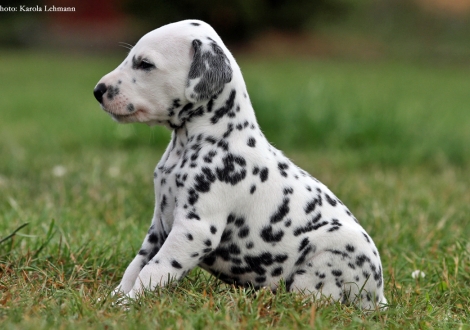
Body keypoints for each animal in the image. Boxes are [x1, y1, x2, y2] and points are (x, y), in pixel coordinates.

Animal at [92, 20, 386, 310]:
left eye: (145, 64)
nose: (98, 91)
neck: (203, 140)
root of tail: (378, 295)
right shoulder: (159, 226)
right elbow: (136, 266)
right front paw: (115, 297)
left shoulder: (194, 229)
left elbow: (154, 269)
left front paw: (129, 302)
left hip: (324, 260)